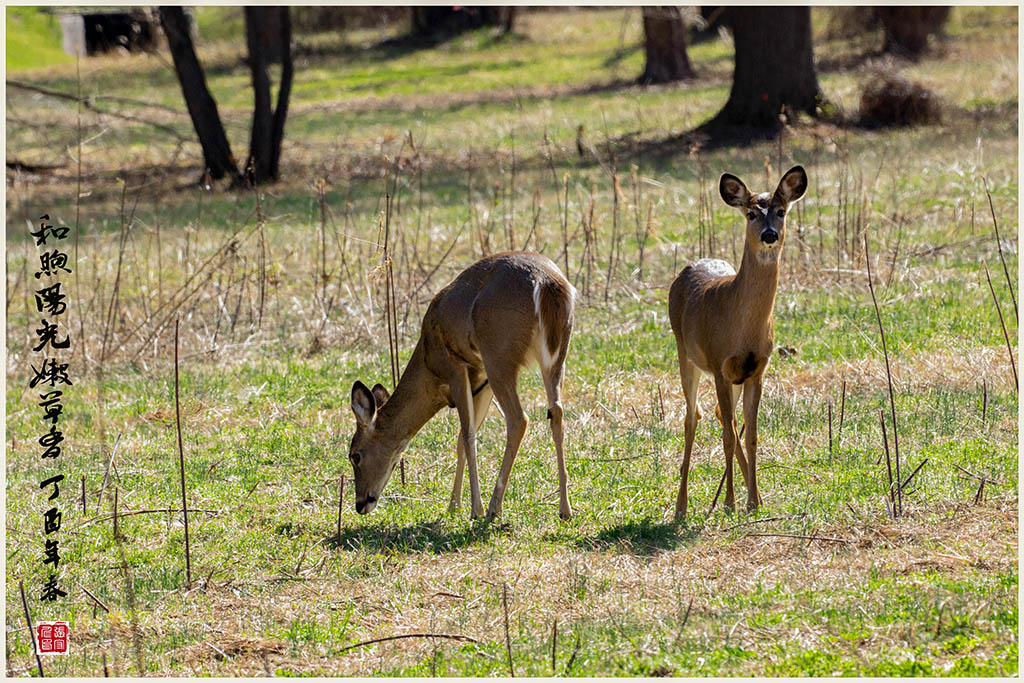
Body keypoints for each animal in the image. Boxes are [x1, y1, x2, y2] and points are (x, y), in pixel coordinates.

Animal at [350, 250, 577, 518]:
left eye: (354, 455)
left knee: (519, 419)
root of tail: (548, 283)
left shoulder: (456, 367)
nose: (360, 504)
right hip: (555, 356)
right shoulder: (481, 380)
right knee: (556, 412)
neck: (429, 362)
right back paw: (564, 509)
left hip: (498, 355)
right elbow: (462, 438)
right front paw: (453, 504)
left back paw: (493, 507)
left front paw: (474, 509)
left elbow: (467, 435)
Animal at [667, 165, 811, 518]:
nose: (769, 235)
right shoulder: (719, 364)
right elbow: (729, 437)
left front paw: (753, 501)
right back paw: (681, 506)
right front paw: (731, 502)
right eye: (751, 214)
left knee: (722, 415)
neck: (740, 326)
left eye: (781, 211)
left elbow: (751, 435)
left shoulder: (756, 370)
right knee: (693, 418)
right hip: (684, 353)